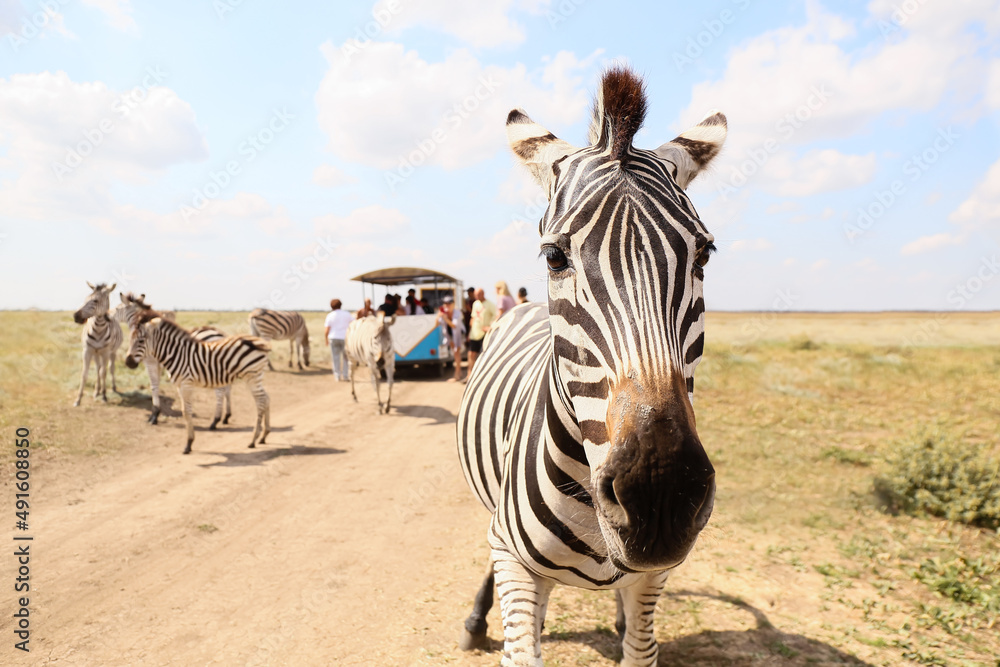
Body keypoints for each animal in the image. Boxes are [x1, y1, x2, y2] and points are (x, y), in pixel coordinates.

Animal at [113, 292, 232, 428]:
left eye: (116, 308)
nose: (107, 316)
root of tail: (222, 334)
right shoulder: (159, 365)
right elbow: (157, 385)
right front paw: (157, 412)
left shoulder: (150, 362)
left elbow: (154, 386)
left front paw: (154, 416)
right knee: (227, 388)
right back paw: (226, 416)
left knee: (220, 391)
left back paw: (215, 420)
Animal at [125, 312, 274, 454]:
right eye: (130, 339)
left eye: (141, 340)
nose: (128, 362)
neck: (177, 355)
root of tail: (260, 341)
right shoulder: (179, 385)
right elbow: (185, 411)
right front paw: (190, 443)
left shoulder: (186, 384)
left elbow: (186, 412)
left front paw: (188, 444)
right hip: (256, 376)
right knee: (266, 397)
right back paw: (264, 436)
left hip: (252, 376)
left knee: (260, 401)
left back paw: (253, 439)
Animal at [456, 65, 728, 664]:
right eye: (554, 256)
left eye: (704, 254)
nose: (659, 494)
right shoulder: (514, 560)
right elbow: (522, 645)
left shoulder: (653, 577)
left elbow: (640, 646)